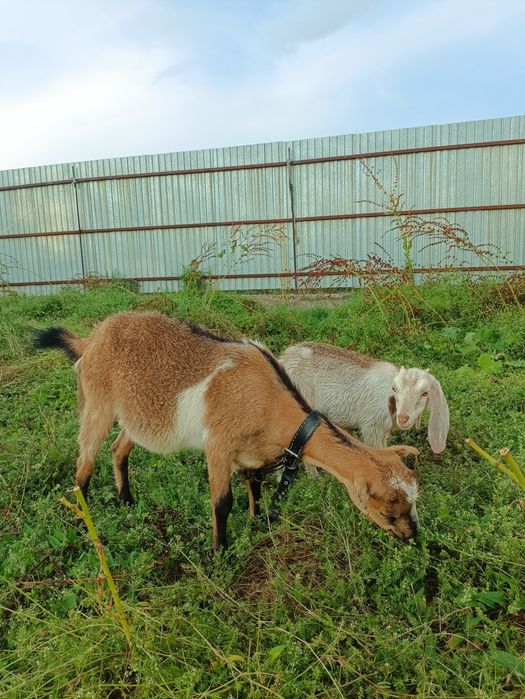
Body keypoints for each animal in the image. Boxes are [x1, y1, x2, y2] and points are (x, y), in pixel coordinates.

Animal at [34, 312, 420, 549]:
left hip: (136, 415)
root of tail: (91, 339)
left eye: (415, 501)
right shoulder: (218, 445)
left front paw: (257, 524)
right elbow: (222, 503)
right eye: (388, 512)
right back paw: (84, 519)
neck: (271, 400)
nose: (413, 538)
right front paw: (220, 551)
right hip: (96, 402)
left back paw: (127, 500)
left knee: (119, 449)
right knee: (84, 464)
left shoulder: (252, 454)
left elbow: (256, 489)